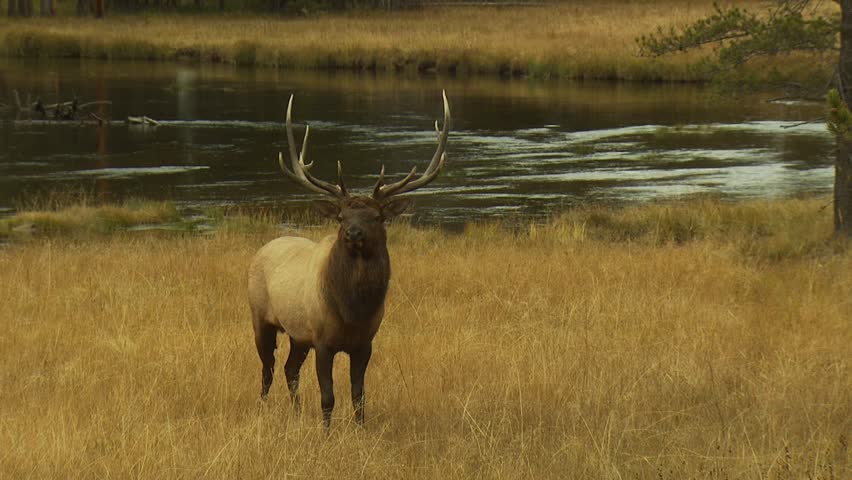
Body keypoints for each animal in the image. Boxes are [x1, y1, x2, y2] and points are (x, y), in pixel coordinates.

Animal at [248, 91, 450, 429]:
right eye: (341, 217)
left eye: (377, 217)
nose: (353, 233)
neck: (353, 311)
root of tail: (263, 248)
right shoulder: (322, 340)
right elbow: (328, 396)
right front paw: (326, 432)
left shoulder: (365, 342)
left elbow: (359, 394)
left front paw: (360, 428)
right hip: (260, 317)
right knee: (267, 369)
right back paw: (264, 409)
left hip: (298, 335)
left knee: (290, 369)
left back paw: (296, 412)